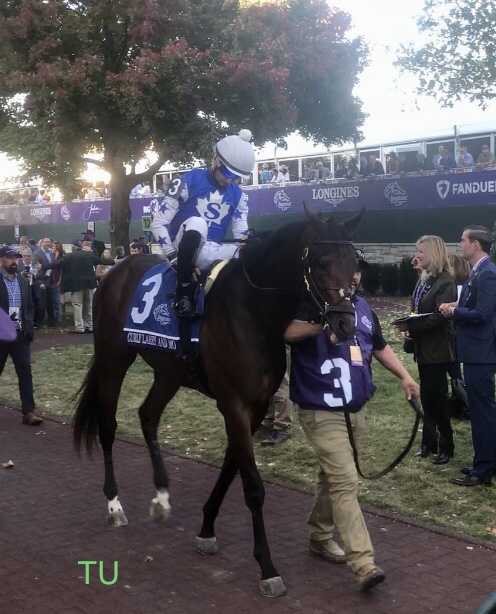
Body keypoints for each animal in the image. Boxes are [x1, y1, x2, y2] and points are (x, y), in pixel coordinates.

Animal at [72, 209, 360, 600]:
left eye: (354, 262)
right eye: (321, 262)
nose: (346, 323)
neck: (253, 311)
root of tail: (115, 269)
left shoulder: (256, 406)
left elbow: (231, 466)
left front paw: (206, 528)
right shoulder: (234, 404)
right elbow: (252, 486)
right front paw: (267, 567)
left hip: (168, 372)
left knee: (147, 415)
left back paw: (161, 497)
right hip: (114, 359)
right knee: (108, 426)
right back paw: (114, 505)